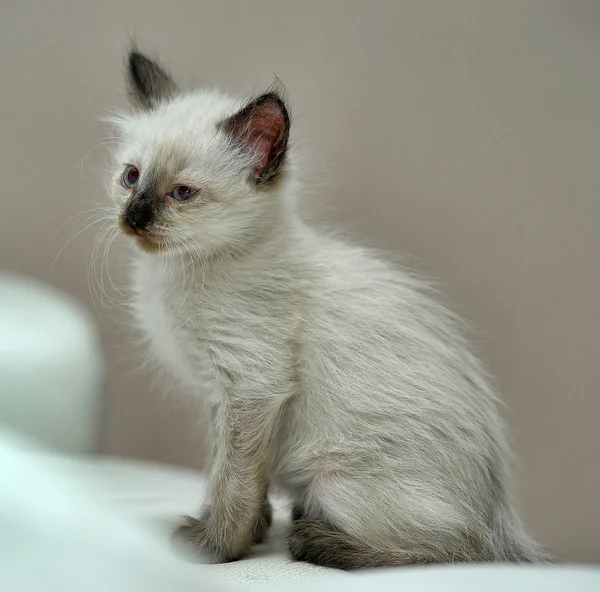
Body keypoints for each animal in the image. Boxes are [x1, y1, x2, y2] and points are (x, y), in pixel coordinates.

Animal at [105, 49, 548, 568]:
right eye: (131, 177)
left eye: (182, 193)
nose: (134, 218)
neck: (176, 275)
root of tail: (501, 519)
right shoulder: (220, 396)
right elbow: (229, 469)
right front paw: (252, 531)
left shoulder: (252, 385)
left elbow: (232, 477)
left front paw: (216, 547)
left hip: (332, 480)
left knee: (460, 549)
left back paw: (318, 541)